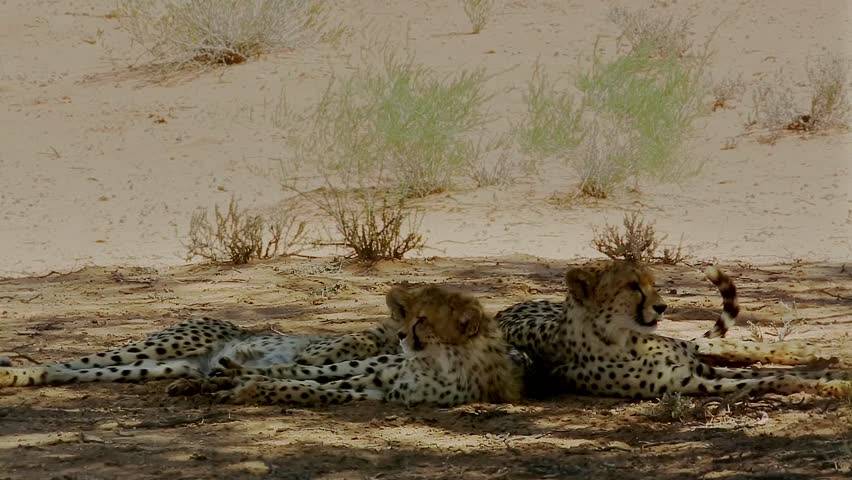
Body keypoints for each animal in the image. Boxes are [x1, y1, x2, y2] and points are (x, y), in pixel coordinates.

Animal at [175, 285, 523, 407]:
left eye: (422, 319)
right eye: (409, 314)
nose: (400, 336)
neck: (438, 360)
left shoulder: (387, 392)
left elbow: (315, 390)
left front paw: (250, 389)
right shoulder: (379, 377)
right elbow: (308, 382)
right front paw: (244, 384)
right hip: (368, 364)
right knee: (303, 369)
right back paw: (221, 375)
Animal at [496, 259, 851, 399]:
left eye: (652, 282)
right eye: (632, 286)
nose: (662, 306)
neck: (619, 338)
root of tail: (505, 309)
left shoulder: (696, 368)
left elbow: (764, 372)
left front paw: (833, 376)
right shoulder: (691, 380)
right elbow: (768, 379)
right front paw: (833, 385)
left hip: (685, 347)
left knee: (713, 345)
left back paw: (803, 350)